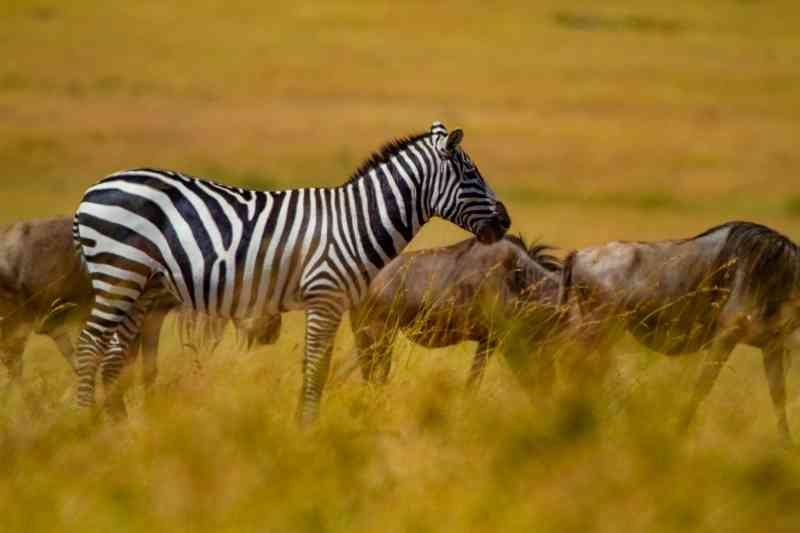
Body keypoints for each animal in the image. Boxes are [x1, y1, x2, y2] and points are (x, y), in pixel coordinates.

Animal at [72, 121, 511, 424]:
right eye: (471, 175)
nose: (506, 221)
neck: (354, 222)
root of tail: (92, 189)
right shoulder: (325, 295)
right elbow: (315, 367)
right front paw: (307, 427)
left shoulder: (334, 304)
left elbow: (319, 365)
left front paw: (304, 424)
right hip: (119, 273)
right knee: (90, 346)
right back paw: (85, 424)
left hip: (140, 286)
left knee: (113, 358)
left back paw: (119, 428)